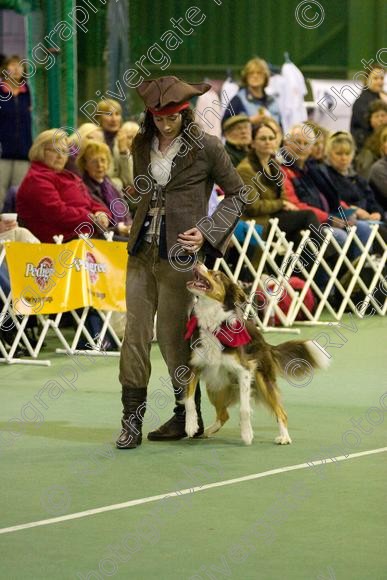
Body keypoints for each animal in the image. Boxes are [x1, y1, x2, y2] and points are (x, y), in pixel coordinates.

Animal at [183, 262, 328, 444]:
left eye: (216, 275)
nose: (197, 262)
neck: (213, 324)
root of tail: (265, 342)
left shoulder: (245, 370)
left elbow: (244, 409)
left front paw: (247, 434)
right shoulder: (193, 366)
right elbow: (189, 401)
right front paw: (191, 426)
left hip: (262, 379)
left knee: (281, 412)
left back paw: (284, 437)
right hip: (216, 384)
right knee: (223, 415)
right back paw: (207, 431)